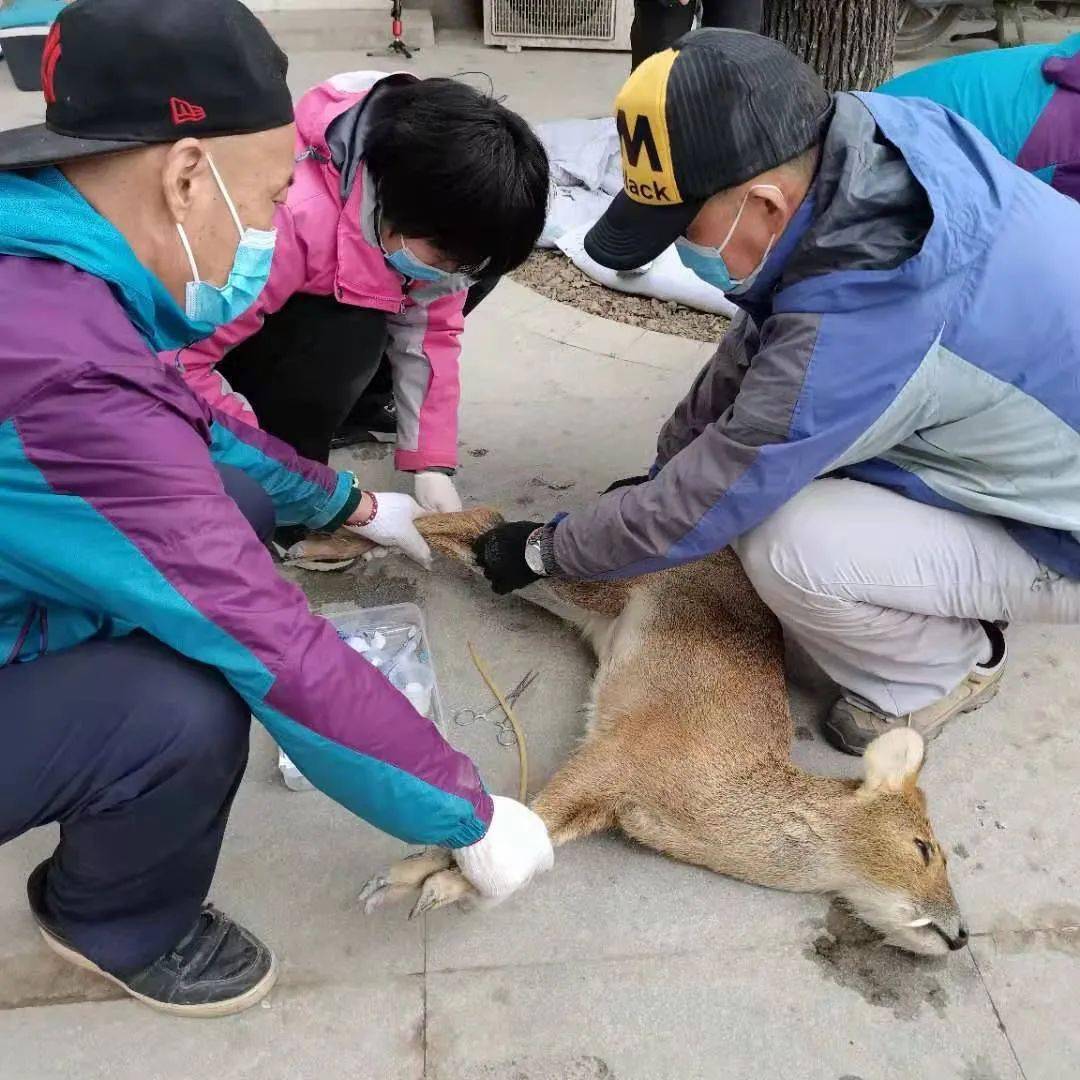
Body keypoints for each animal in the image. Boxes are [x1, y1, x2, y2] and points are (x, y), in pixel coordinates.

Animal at [356, 505, 972, 954]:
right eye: (924, 848)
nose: (961, 935)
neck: (716, 798)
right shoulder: (618, 751)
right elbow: (520, 817)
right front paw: (413, 877)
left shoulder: (611, 799)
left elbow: (536, 832)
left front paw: (432, 882)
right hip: (592, 581)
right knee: (507, 527)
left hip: (582, 608)